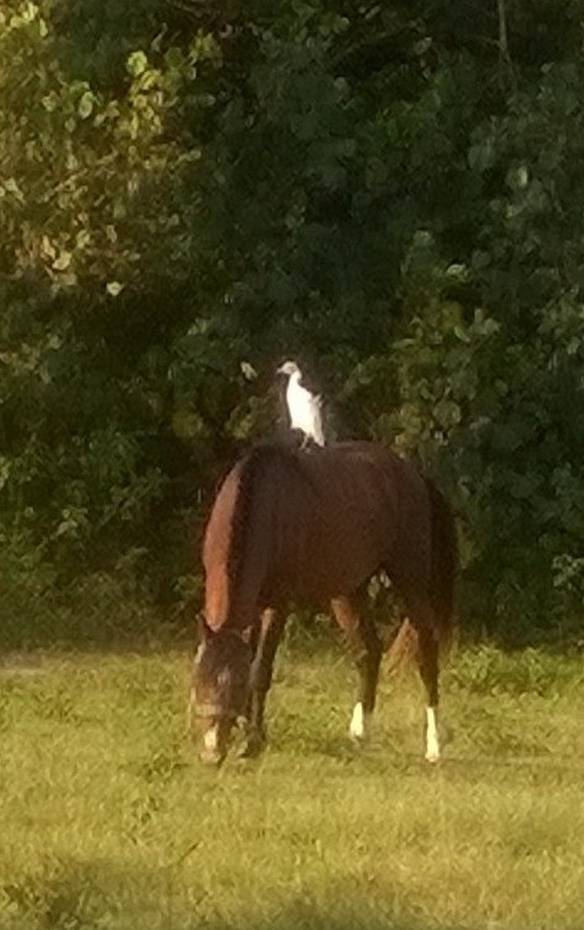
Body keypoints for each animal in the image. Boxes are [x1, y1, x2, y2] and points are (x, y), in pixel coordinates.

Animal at [190, 440, 457, 766]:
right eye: (199, 679)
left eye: (234, 685)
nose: (211, 752)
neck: (264, 507)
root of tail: (414, 475)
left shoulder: (277, 605)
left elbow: (261, 670)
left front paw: (253, 741)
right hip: (348, 591)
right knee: (369, 650)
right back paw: (361, 731)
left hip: (411, 581)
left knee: (426, 654)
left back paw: (433, 745)